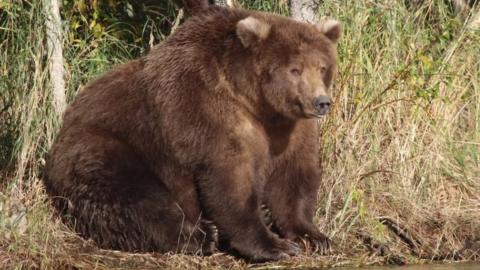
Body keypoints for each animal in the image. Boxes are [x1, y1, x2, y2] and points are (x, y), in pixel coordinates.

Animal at [42, 3, 342, 262]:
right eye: (295, 69)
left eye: (322, 67)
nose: (321, 102)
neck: (257, 103)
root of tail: (61, 132)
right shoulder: (208, 111)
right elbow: (230, 179)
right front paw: (274, 245)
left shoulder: (290, 128)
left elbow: (293, 177)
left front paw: (313, 237)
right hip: (107, 148)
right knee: (136, 198)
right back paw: (202, 235)